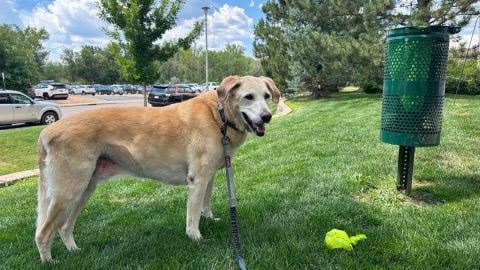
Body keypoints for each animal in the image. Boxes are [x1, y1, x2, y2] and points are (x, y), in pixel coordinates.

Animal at [35, 76, 280, 262]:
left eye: (266, 96)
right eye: (248, 97)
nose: (267, 117)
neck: (219, 116)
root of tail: (46, 132)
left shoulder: (209, 177)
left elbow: (206, 205)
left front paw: (210, 219)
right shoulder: (198, 179)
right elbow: (193, 217)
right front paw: (196, 238)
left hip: (84, 189)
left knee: (64, 227)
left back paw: (74, 251)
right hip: (69, 191)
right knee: (44, 233)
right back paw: (50, 262)